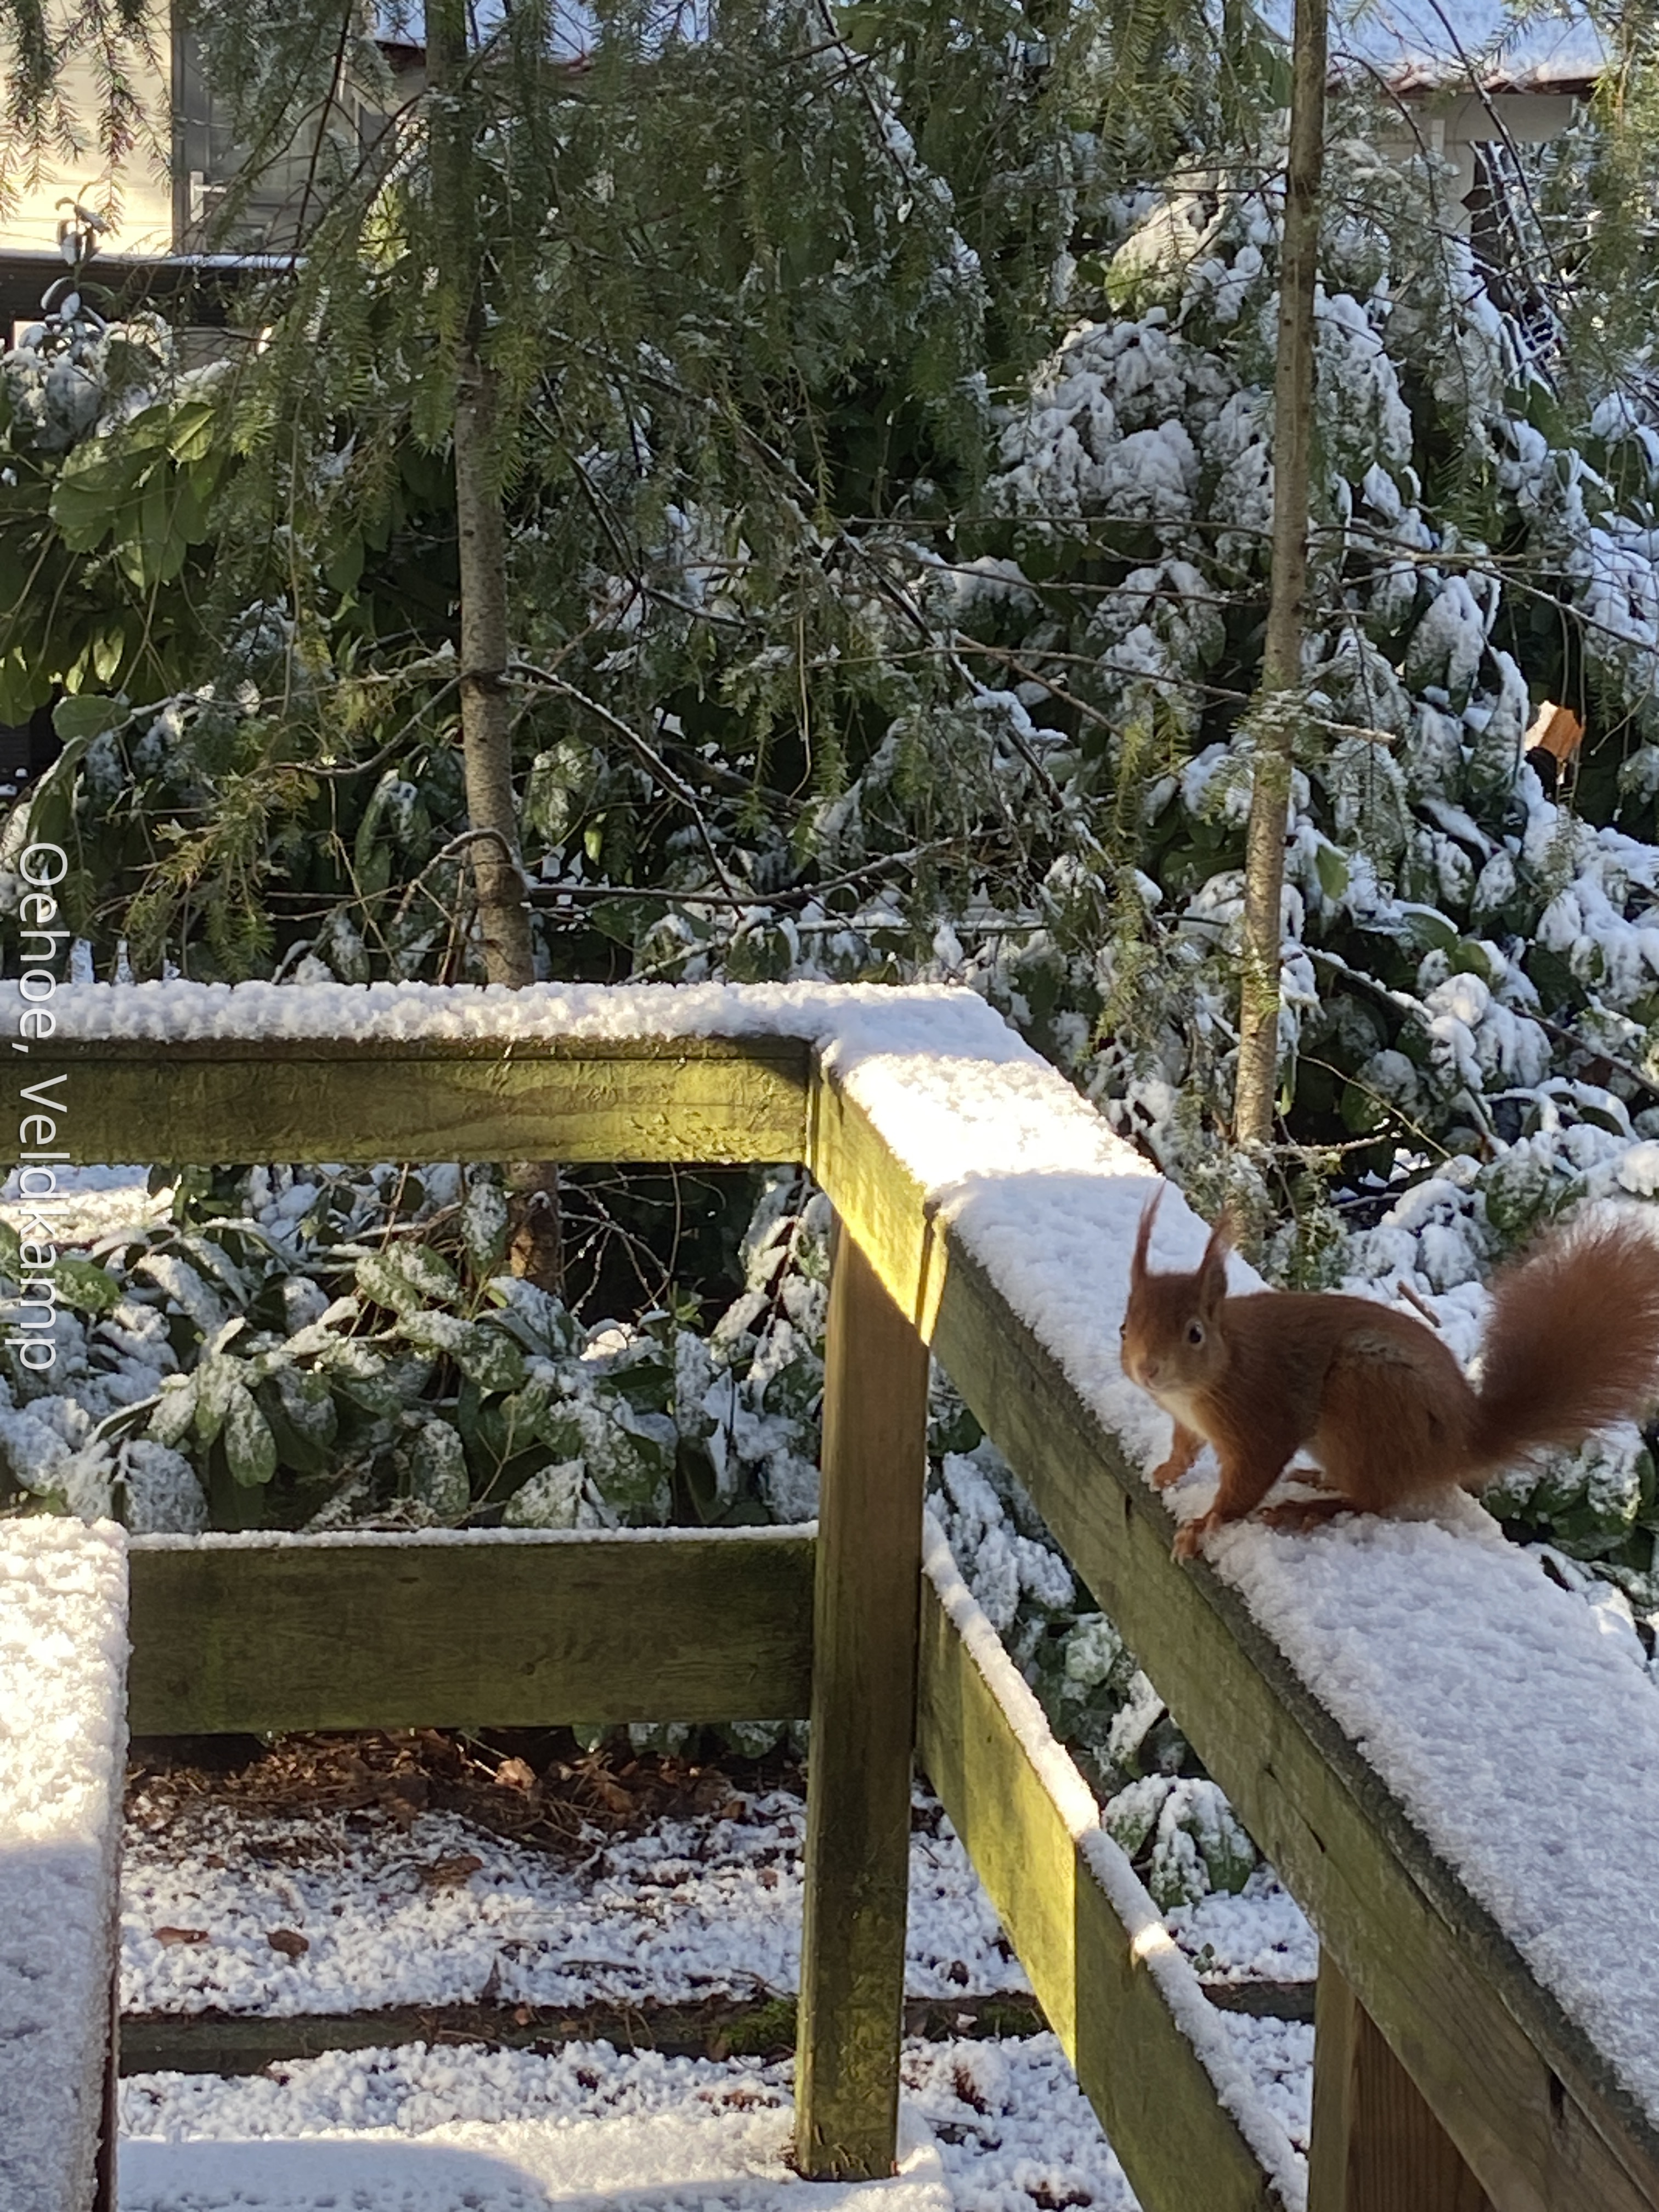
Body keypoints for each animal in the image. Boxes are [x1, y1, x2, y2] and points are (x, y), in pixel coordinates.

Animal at [1119, 1187, 1659, 1559]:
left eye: (1194, 1334)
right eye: (1126, 1325)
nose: (1148, 1369)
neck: (1219, 1368)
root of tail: (1462, 1443)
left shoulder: (1262, 1416)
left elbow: (1248, 1482)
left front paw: (1205, 1525)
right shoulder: (1187, 1419)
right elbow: (1185, 1447)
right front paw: (1168, 1471)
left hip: (1364, 1391)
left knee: (1375, 1499)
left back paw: (1311, 1507)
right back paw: (1319, 1480)